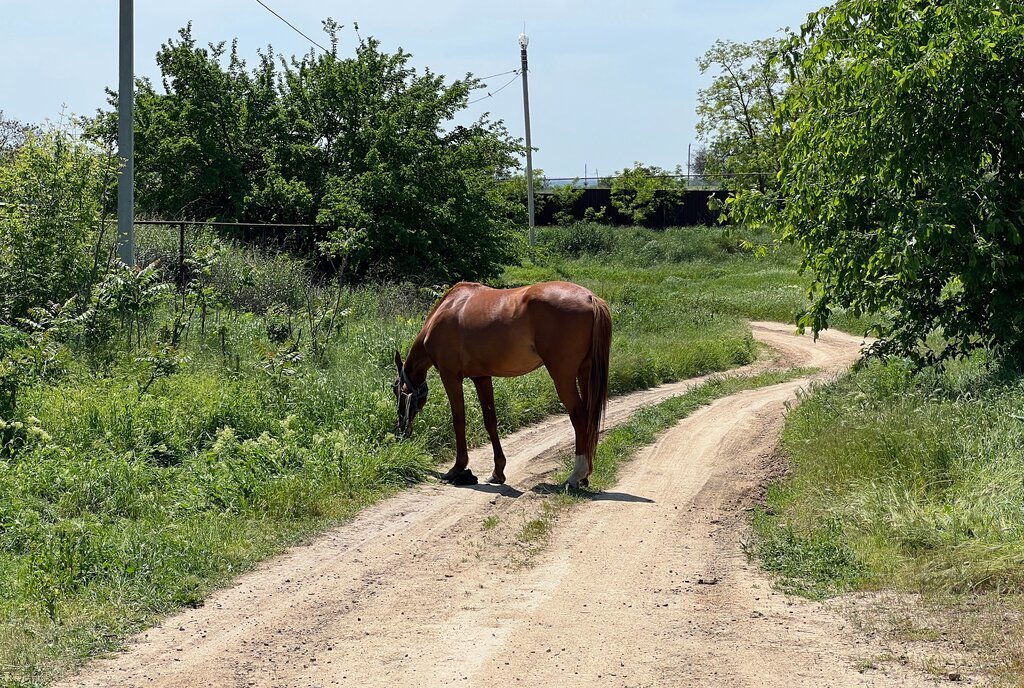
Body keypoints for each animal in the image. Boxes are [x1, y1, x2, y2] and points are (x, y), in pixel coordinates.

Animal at [395, 280, 610, 489]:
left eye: (397, 393)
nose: (401, 432)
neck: (449, 307)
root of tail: (590, 298)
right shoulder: (482, 377)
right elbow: (490, 421)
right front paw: (498, 472)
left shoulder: (450, 376)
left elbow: (458, 420)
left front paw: (457, 468)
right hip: (585, 372)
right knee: (589, 418)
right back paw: (585, 476)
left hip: (563, 376)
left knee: (579, 416)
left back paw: (575, 476)